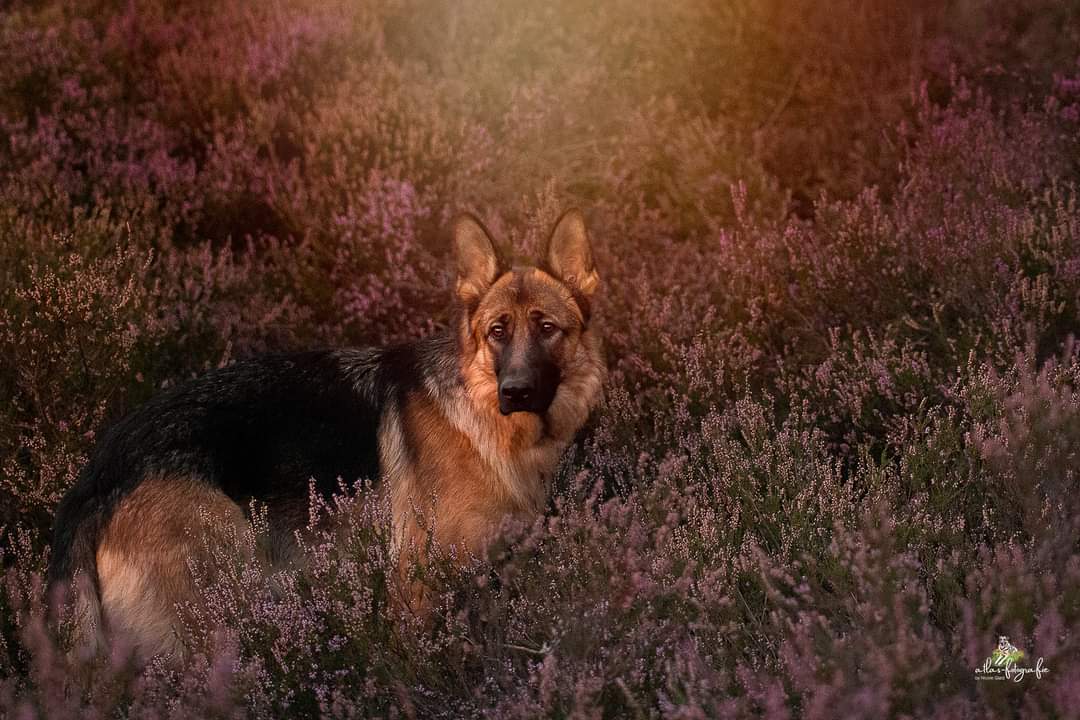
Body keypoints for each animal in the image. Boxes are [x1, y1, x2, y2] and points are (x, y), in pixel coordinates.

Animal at [46, 208, 604, 660]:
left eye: (547, 329)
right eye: (497, 332)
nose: (516, 391)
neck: (482, 419)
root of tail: (98, 477)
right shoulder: (416, 587)